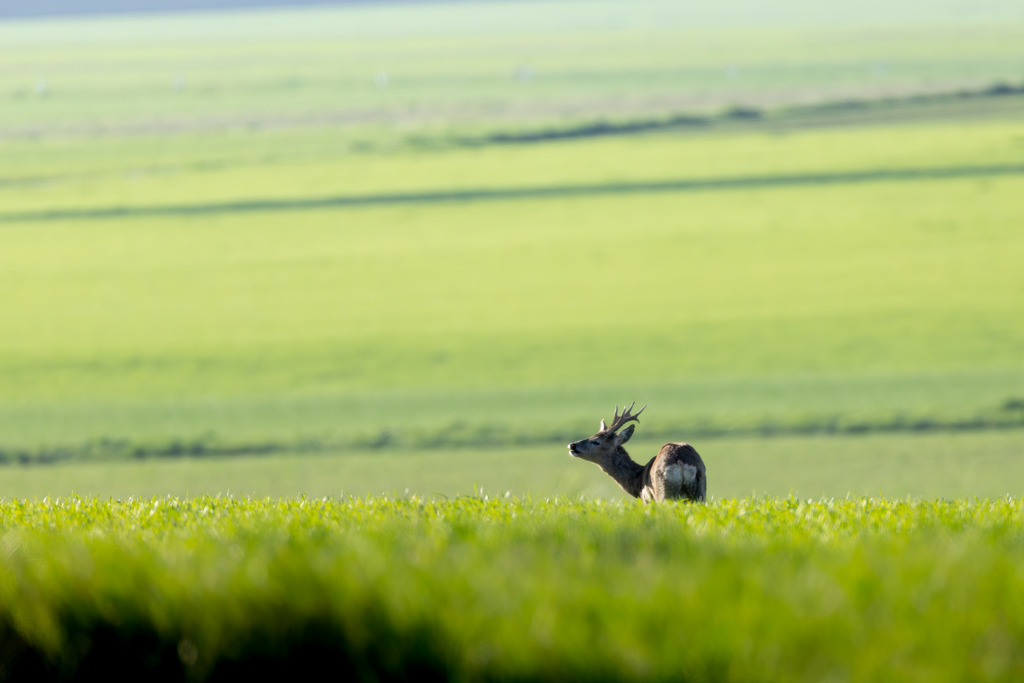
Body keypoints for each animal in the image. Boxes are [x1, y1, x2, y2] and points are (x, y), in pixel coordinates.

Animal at [568, 403, 706, 503]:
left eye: (596, 441)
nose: (572, 445)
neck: (637, 482)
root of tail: (681, 461)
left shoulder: (647, 498)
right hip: (700, 491)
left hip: (664, 492)